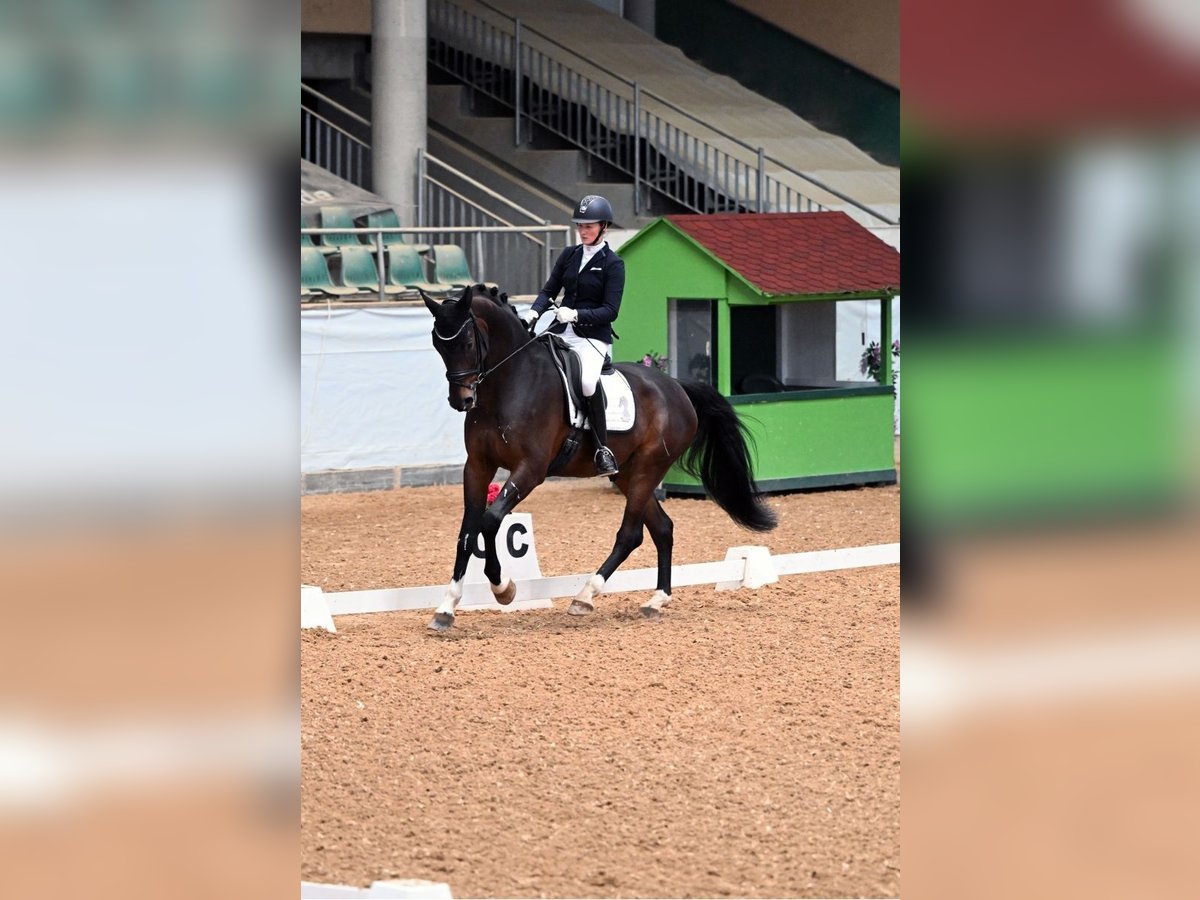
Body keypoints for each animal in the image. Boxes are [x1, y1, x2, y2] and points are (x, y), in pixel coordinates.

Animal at [424, 283, 777, 633]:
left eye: (468, 342)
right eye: (438, 345)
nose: (461, 400)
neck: (510, 383)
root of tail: (677, 387)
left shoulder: (530, 470)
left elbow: (490, 521)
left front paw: (503, 588)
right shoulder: (477, 466)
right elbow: (468, 532)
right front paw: (446, 608)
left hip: (648, 467)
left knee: (631, 534)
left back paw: (585, 597)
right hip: (628, 473)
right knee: (662, 528)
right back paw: (656, 600)